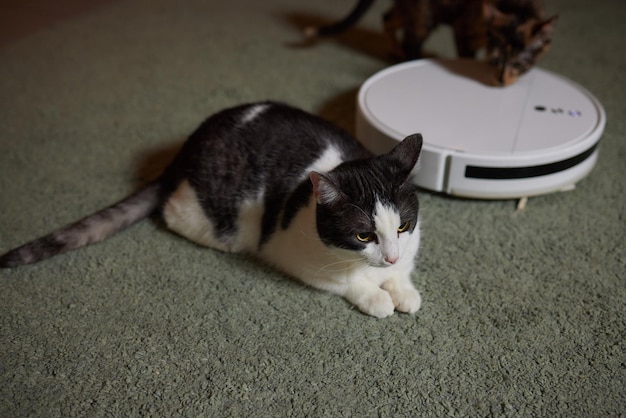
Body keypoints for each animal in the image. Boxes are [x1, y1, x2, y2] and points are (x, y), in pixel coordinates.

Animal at [0, 100, 422, 316]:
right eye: (363, 235)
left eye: (402, 226)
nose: (389, 256)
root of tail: (187, 148)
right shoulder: (297, 255)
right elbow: (345, 283)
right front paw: (378, 297)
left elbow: (403, 275)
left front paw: (403, 290)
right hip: (224, 223)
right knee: (172, 210)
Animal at [304, 0, 552, 85]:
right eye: (495, 61)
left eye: (519, 64)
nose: (500, 81)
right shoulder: (464, 29)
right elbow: (466, 56)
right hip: (424, 14)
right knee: (409, 39)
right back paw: (410, 57)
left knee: (388, 18)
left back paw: (395, 51)